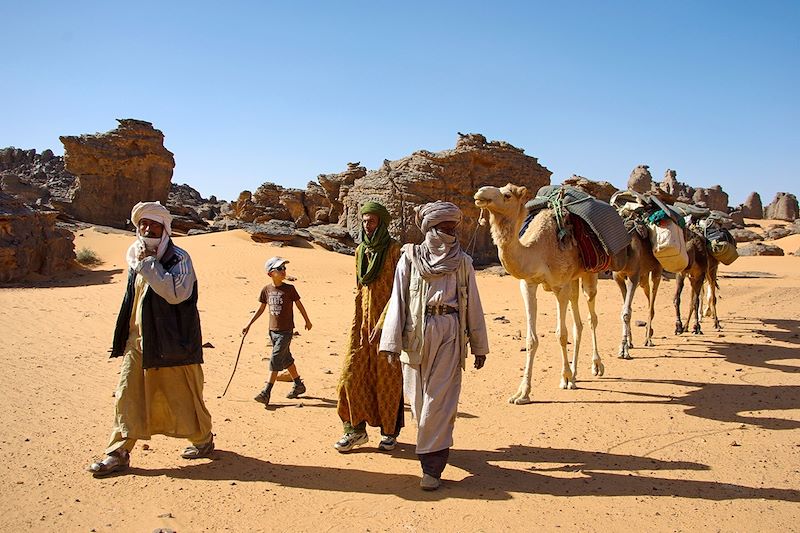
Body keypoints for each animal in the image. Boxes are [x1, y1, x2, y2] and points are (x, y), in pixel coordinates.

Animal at [476, 183, 600, 404]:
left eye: (507, 195)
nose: (480, 193)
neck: (538, 252)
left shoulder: (560, 287)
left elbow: (561, 334)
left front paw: (564, 377)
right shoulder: (528, 284)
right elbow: (531, 339)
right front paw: (522, 393)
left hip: (589, 273)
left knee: (591, 315)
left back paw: (595, 367)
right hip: (574, 279)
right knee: (578, 323)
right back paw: (575, 376)